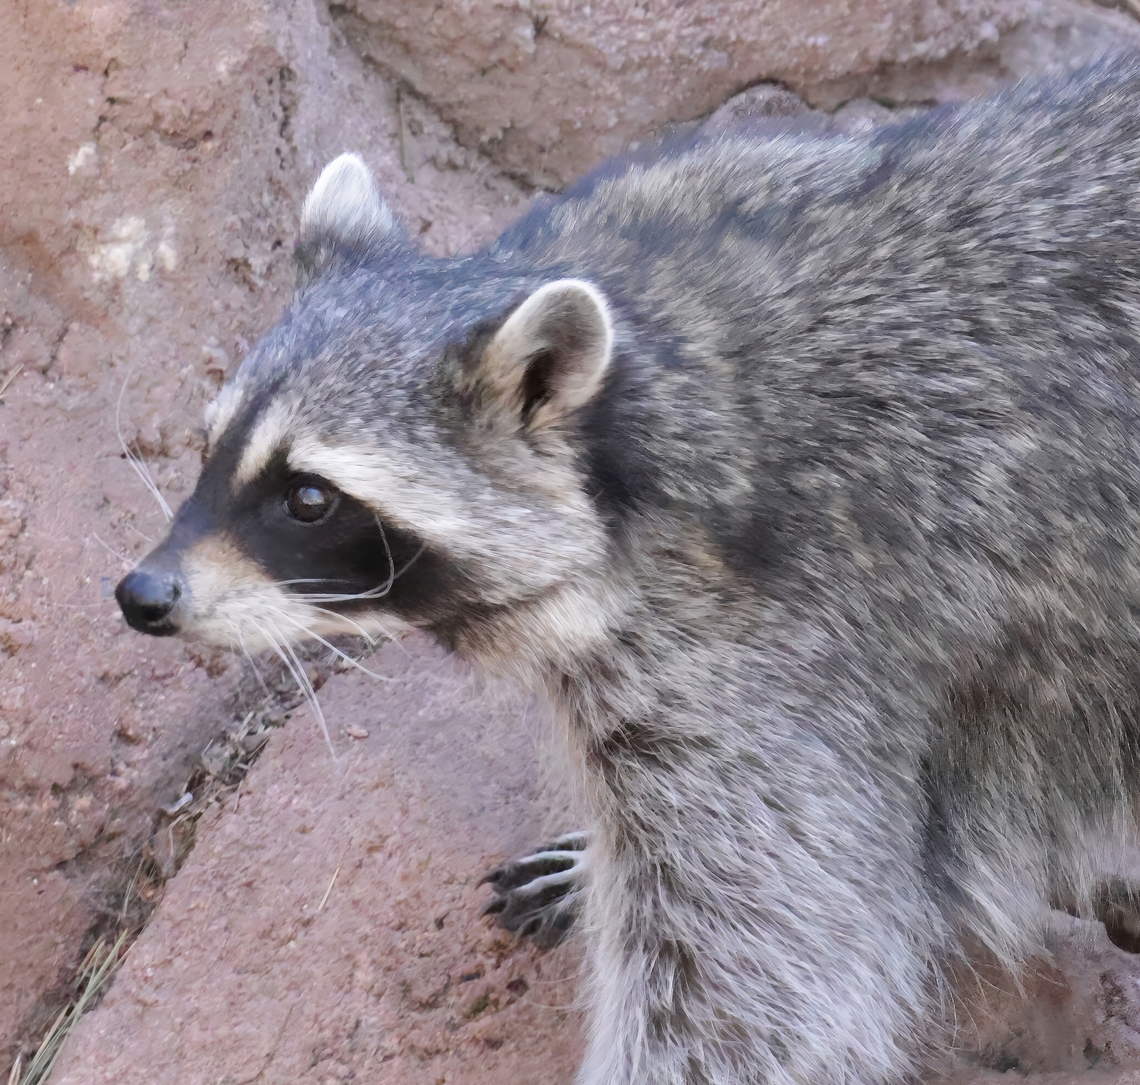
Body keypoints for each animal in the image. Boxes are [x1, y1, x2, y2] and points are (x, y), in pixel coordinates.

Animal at [117, 61, 1140, 1085]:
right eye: (209, 451)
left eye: (309, 497)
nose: (142, 595)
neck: (657, 353)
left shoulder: (790, 641)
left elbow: (757, 979)